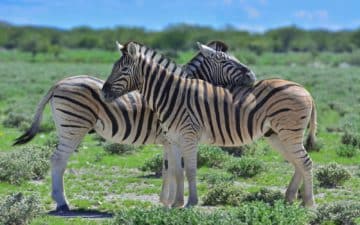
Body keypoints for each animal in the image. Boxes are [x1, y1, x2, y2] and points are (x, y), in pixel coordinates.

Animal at [12, 41, 255, 212]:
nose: (252, 75)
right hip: (73, 127)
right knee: (58, 161)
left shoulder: (168, 139)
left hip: (67, 127)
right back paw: (62, 203)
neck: (176, 93)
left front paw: (165, 200)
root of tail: (59, 83)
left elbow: (167, 168)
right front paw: (171, 200)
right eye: (225, 61)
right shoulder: (170, 137)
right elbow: (175, 168)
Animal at [102, 41, 318, 207]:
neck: (172, 95)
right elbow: (176, 171)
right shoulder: (173, 140)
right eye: (114, 67)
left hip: (289, 133)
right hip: (277, 135)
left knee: (305, 162)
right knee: (297, 162)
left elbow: (189, 170)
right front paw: (176, 203)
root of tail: (304, 89)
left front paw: (191, 202)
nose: (103, 92)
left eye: (123, 69)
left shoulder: (188, 137)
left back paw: (309, 203)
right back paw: (290, 199)